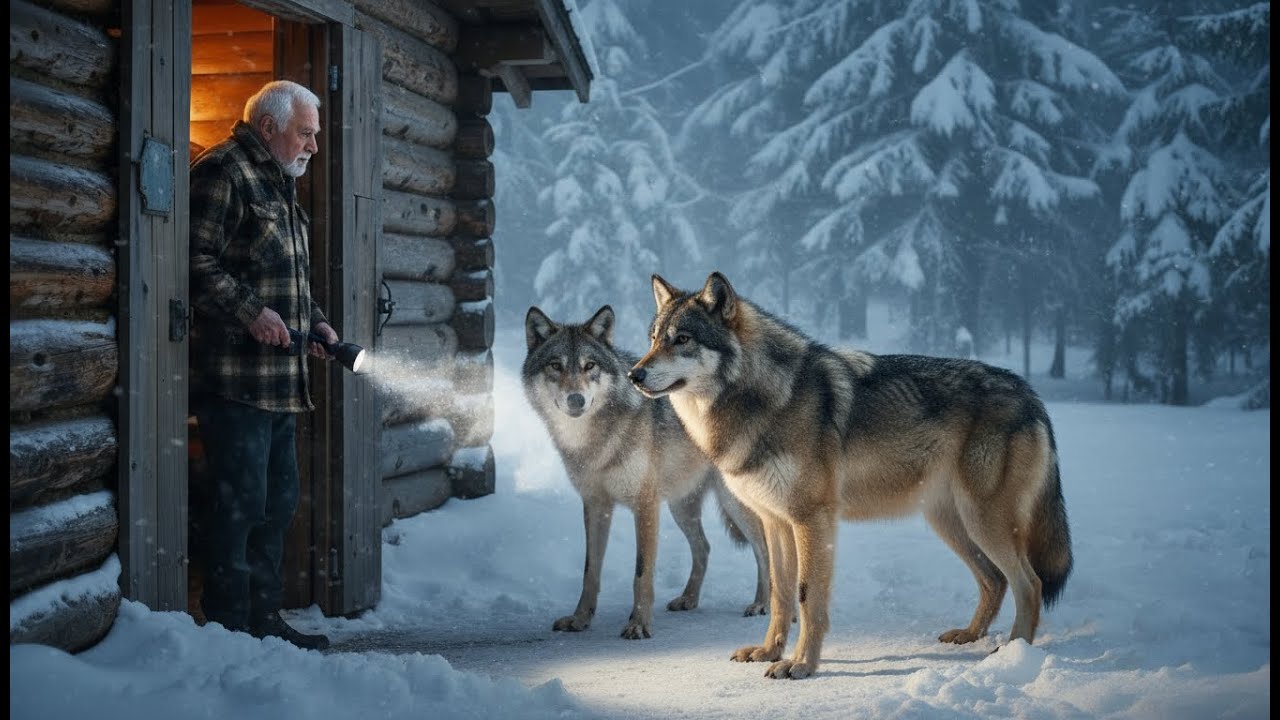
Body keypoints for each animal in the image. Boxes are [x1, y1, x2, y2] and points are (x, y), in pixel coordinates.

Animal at [523, 304, 771, 640]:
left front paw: (638, 624)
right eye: (555, 366)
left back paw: (763, 604)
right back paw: (688, 599)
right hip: (681, 507)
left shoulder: (645, 505)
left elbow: (641, 572)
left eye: (589, 366)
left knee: (765, 549)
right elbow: (590, 570)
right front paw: (579, 619)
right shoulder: (596, 506)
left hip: (734, 504)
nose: (576, 399)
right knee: (704, 547)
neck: (594, 442)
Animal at [628, 272, 1073, 679]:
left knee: (1029, 584)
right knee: (995, 581)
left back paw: (1014, 654)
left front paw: (801, 666)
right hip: (950, 522)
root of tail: (1030, 394)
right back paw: (969, 635)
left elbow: (807, 597)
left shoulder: (812, 520)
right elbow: (780, 594)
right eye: (653, 338)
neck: (761, 396)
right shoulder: (776, 522)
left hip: (983, 522)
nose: (634, 375)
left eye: (682, 339)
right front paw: (769, 653)